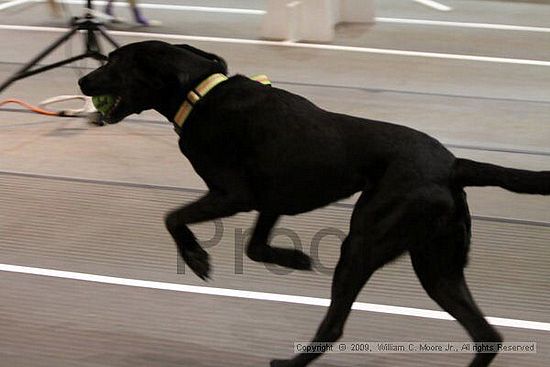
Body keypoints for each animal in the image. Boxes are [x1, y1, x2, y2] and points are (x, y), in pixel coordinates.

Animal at [78, 41, 550, 367]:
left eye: (113, 62)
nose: (81, 81)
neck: (199, 93)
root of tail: (454, 165)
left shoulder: (234, 194)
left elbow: (172, 217)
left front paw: (196, 259)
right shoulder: (271, 201)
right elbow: (255, 247)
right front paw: (294, 259)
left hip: (365, 244)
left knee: (336, 323)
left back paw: (290, 362)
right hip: (438, 265)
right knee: (486, 334)